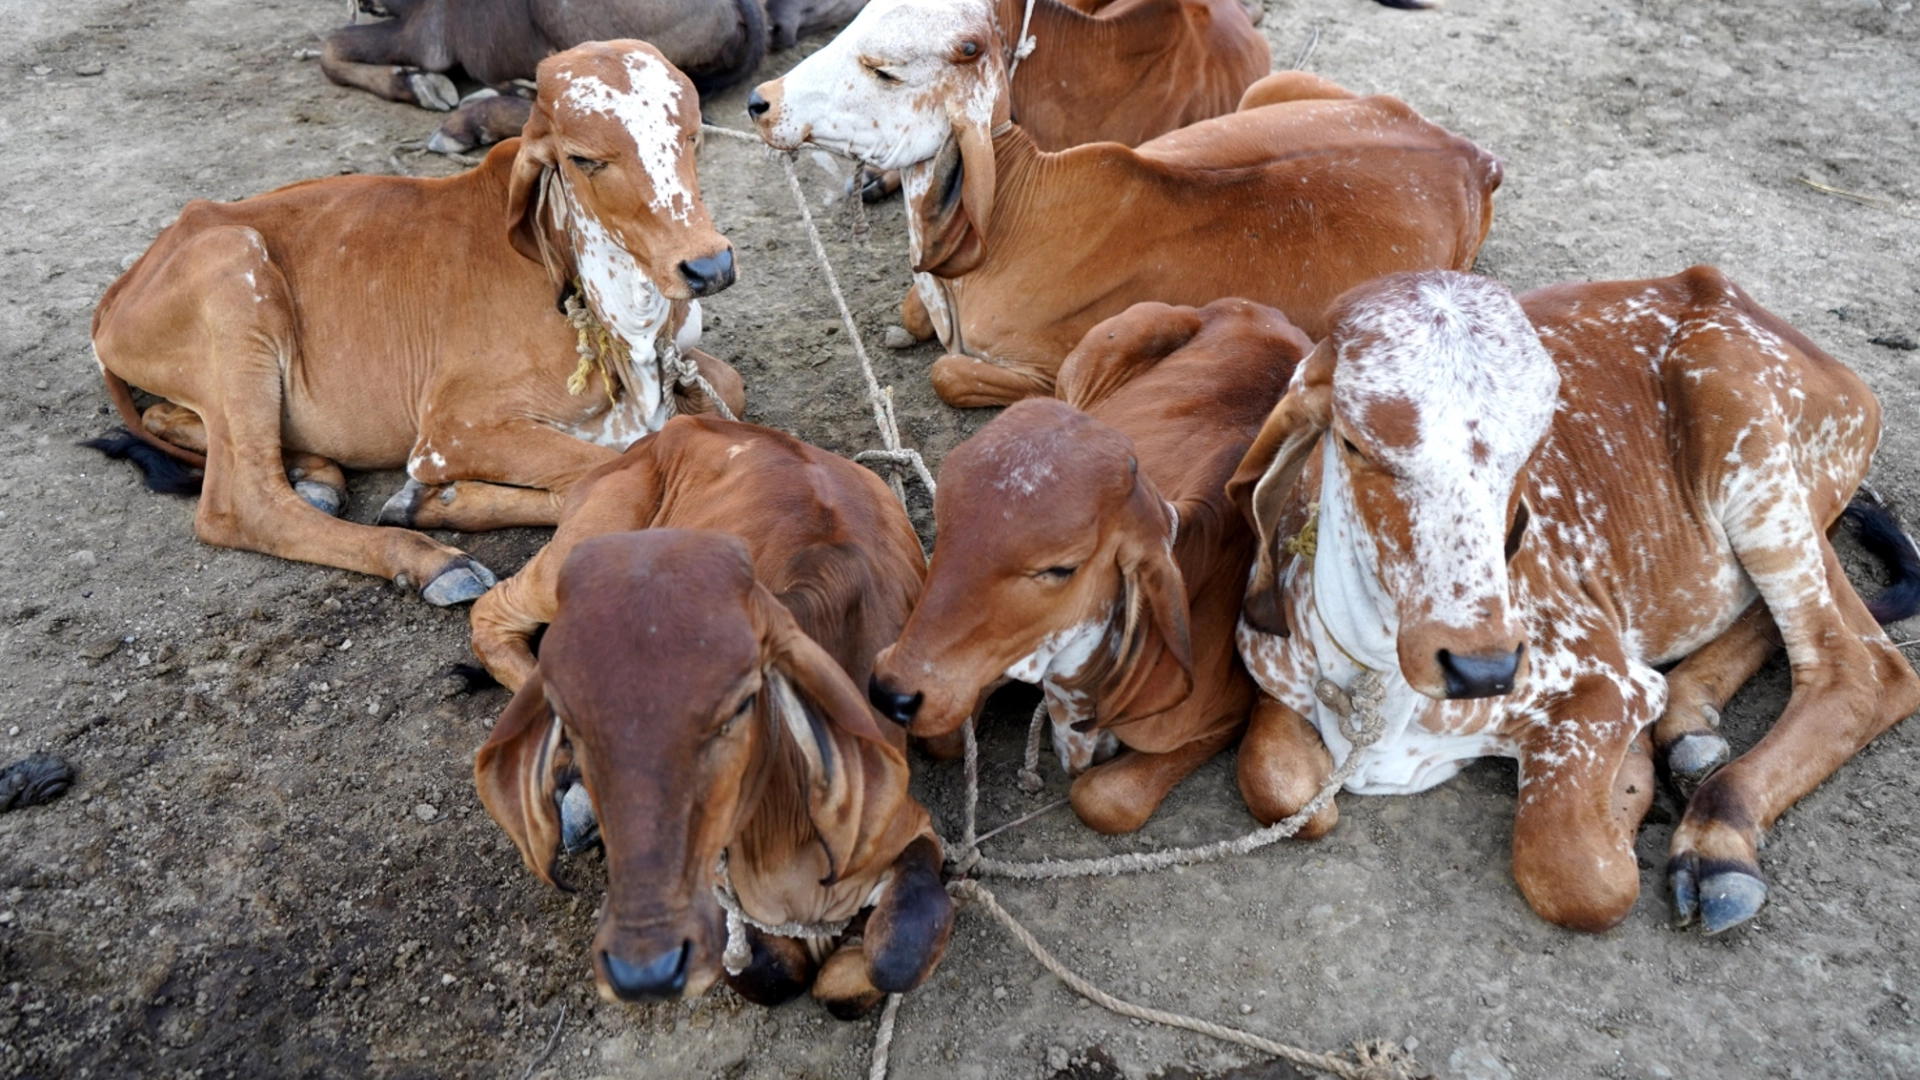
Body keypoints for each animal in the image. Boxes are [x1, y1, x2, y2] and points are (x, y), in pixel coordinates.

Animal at [87, 42, 743, 605]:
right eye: (585, 159)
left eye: (691, 136)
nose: (708, 266)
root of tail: (130, 277)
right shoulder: (452, 431)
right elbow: (619, 465)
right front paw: (435, 503)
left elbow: (722, 391)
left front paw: (436, 501)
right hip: (234, 274)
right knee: (242, 502)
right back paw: (432, 562)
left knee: (167, 417)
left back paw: (317, 472)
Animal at [474, 528, 952, 1014]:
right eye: (567, 721)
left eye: (739, 705)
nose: (644, 970)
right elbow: (771, 972)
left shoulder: (909, 827)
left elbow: (897, 953)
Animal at [747, 0, 1500, 408]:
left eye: (885, 70)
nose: (761, 100)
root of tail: (1469, 154)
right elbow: (913, 315)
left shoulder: (1044, 368)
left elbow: (952, 371)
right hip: (1270, 89)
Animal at [867, 299, 1307, 834]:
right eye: (943, 522)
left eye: (1061, 569)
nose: (892, 691)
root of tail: (1267, 313)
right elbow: (945, 737)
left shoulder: (1218, 720)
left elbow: (1107, 799)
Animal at [1225, 267, 1920, 934]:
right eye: (1355, 444)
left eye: (1532, 453)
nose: (1481, 668)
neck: (1380, 679)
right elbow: (1277, 785)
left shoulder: (1607, 685)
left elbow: (1578, 874)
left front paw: (1629, 790)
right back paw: (1690, 727)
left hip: (1755, 462)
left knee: (1862, 670)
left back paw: (1719, 839)